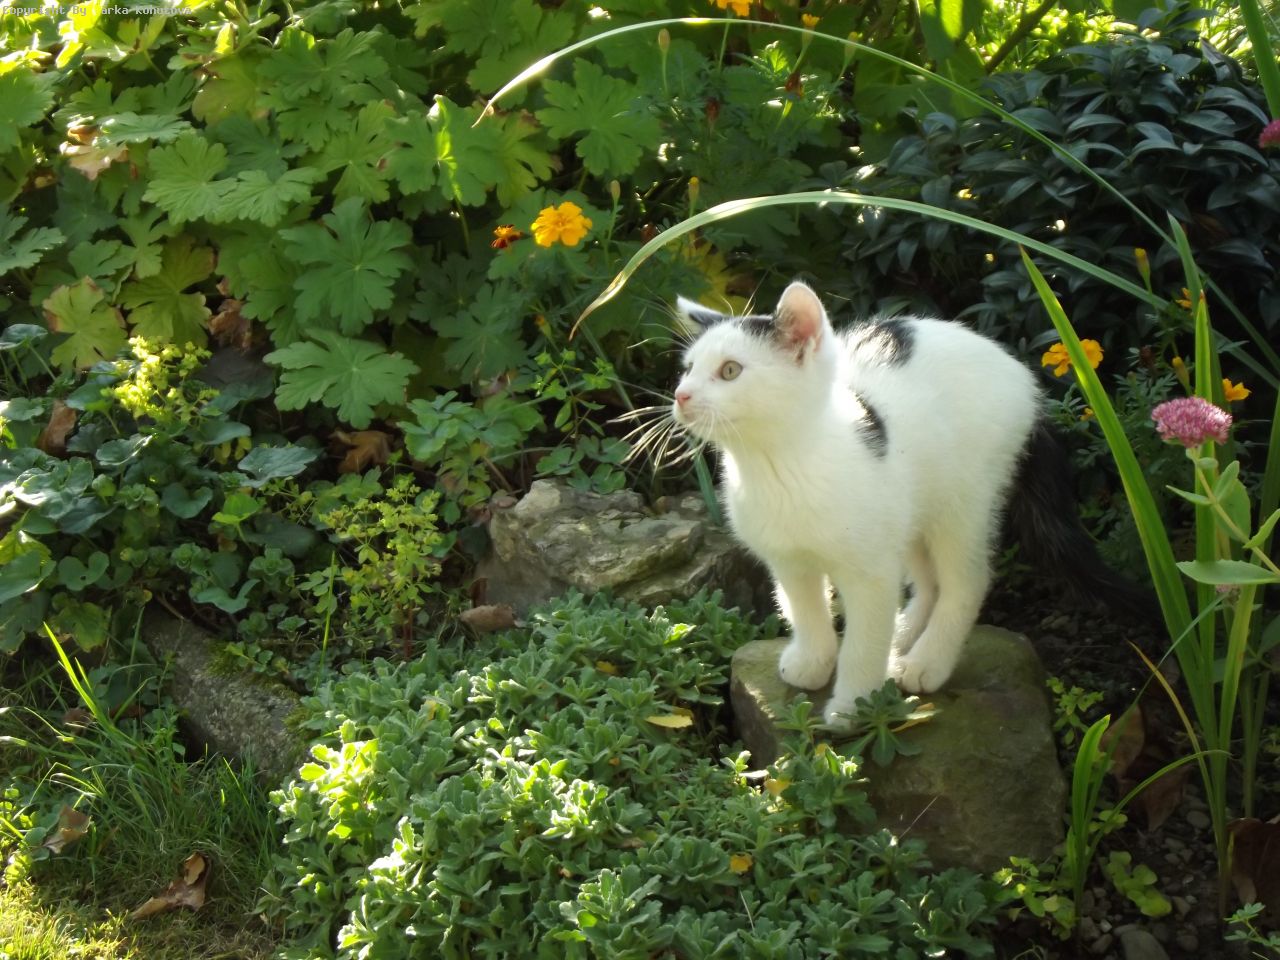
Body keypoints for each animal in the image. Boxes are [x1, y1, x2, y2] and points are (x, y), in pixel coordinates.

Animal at [669, 280, 1137, 727]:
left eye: (730, 370)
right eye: (688, 368)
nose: (681, 395)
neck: (777, 467)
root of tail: (1023, 378)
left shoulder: (870, 570)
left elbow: (864, 641)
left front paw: (854, 706)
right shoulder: (788, 560)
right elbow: (804, 608)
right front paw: (812, 660)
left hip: (964, 498)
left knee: (967, 581)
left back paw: (926, 660)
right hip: (909, 505)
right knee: (929, 582)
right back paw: (903, 634)